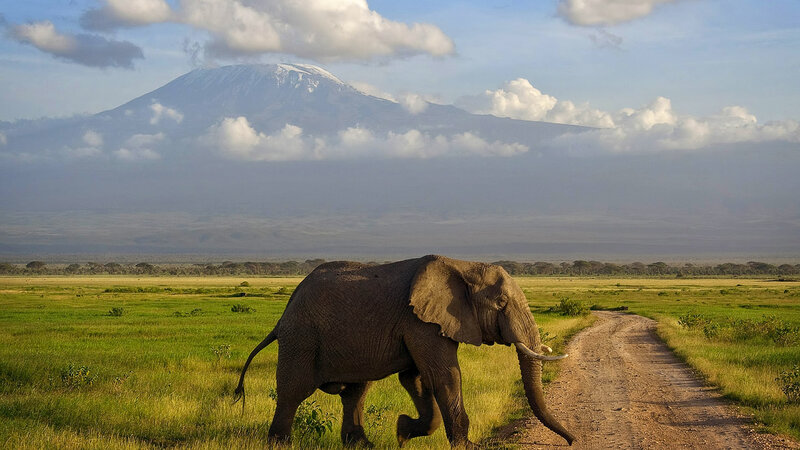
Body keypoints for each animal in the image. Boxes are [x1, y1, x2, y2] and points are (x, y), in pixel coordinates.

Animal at [233, 255, 575, 447]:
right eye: (501, 303)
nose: (572, 440)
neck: (464, 267)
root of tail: (283, 314)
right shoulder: (420, 321)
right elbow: (444, 377)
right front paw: (467, 446)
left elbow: (417, 380)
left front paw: (402, 432)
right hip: (301, 337)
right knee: (294, 390)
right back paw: (280, 444)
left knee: (356, 392)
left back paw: (362, 445)